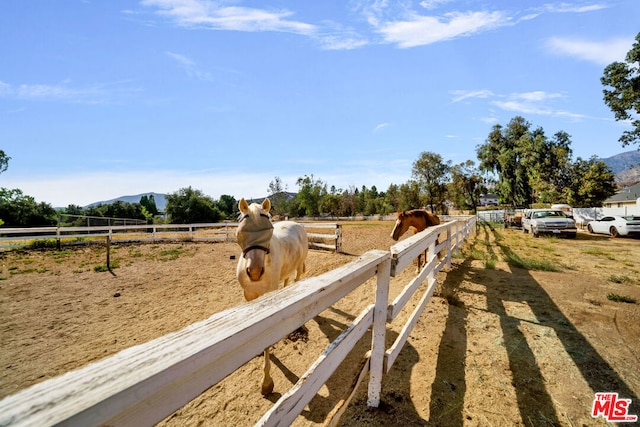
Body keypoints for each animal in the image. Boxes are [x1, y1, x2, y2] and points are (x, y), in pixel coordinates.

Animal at [235, 199, 308, 396]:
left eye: (268, 231)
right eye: (241, 232)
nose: (254, 272)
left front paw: (267, 383)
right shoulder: (249, 296)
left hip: (299, 266)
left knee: (297, 280)